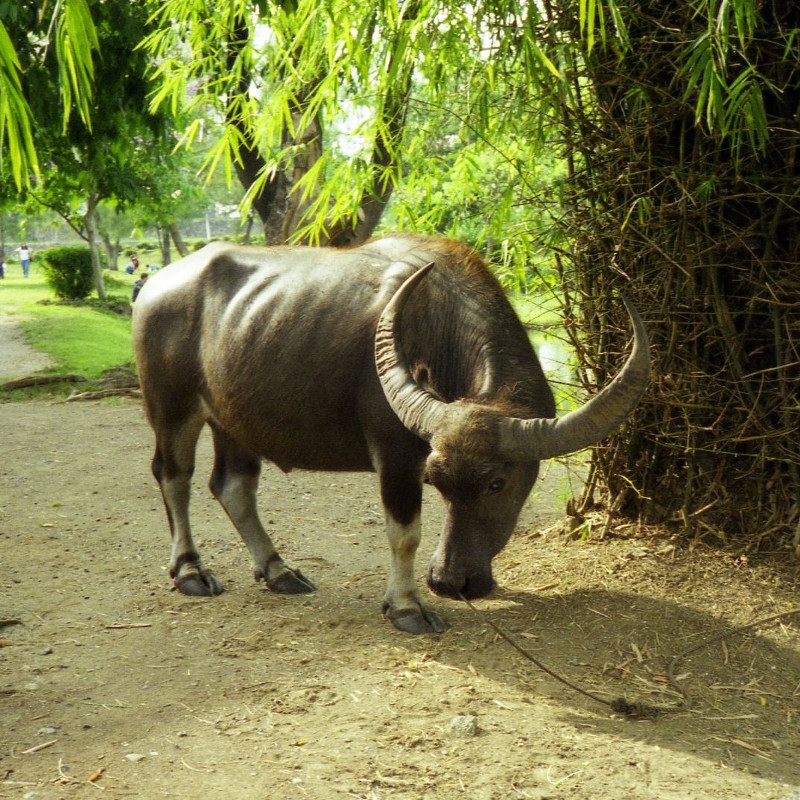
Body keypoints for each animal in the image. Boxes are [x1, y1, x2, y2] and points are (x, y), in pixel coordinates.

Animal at [133, 234, 648, 636]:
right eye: (435, 481)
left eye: (496, 484)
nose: (449, 582)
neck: (438, 327)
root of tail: (155, 287)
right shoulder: (396, 456)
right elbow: (405, 535)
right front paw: (407, 607)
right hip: (172, 408)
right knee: (173, 477)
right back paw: (191, 572)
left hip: (232, 420)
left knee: (232, 486)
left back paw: (279, 572)